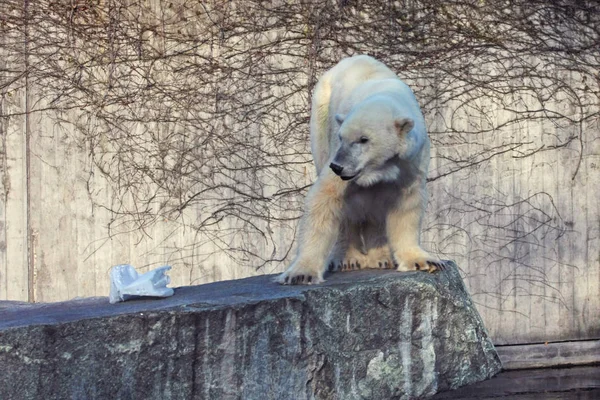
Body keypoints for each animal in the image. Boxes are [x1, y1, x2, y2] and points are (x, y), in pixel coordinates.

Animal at [278, 54, 442, 284]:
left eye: (364, 139)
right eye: (342, 137)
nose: (337, 166)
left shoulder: (410, 162)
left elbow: (406, 204)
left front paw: (422, 261)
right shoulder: (338, 156)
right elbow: (325, 198)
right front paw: (301, 273)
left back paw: (381, 258)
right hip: (321, 117)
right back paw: (349, 259)